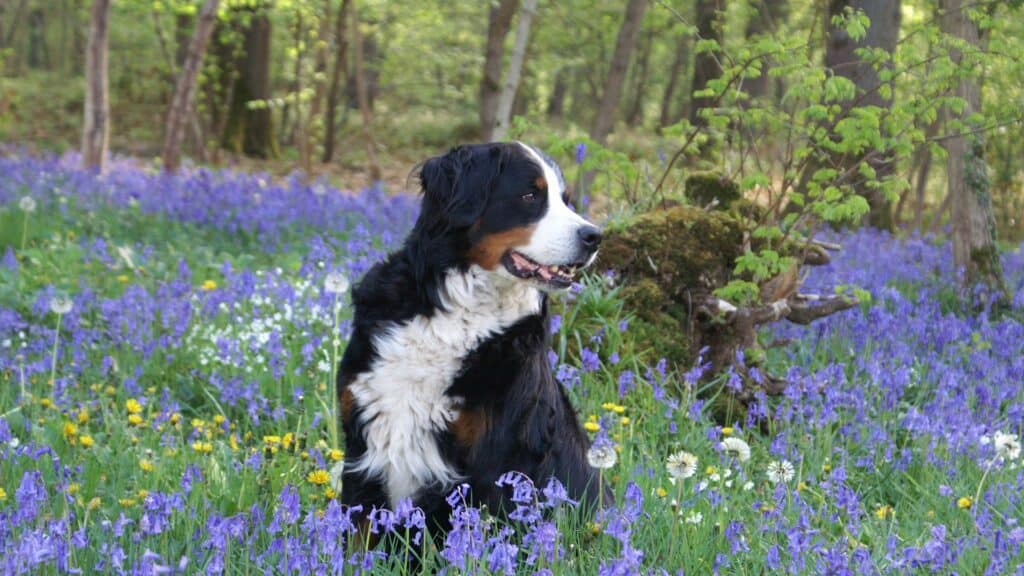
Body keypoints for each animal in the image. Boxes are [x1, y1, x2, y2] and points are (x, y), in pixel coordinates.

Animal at [335, 140, 606, 528]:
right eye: (530, 195)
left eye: (566, 200)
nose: (594, 236)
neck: (459, 313)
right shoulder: (361, 443)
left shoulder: (494, 464)